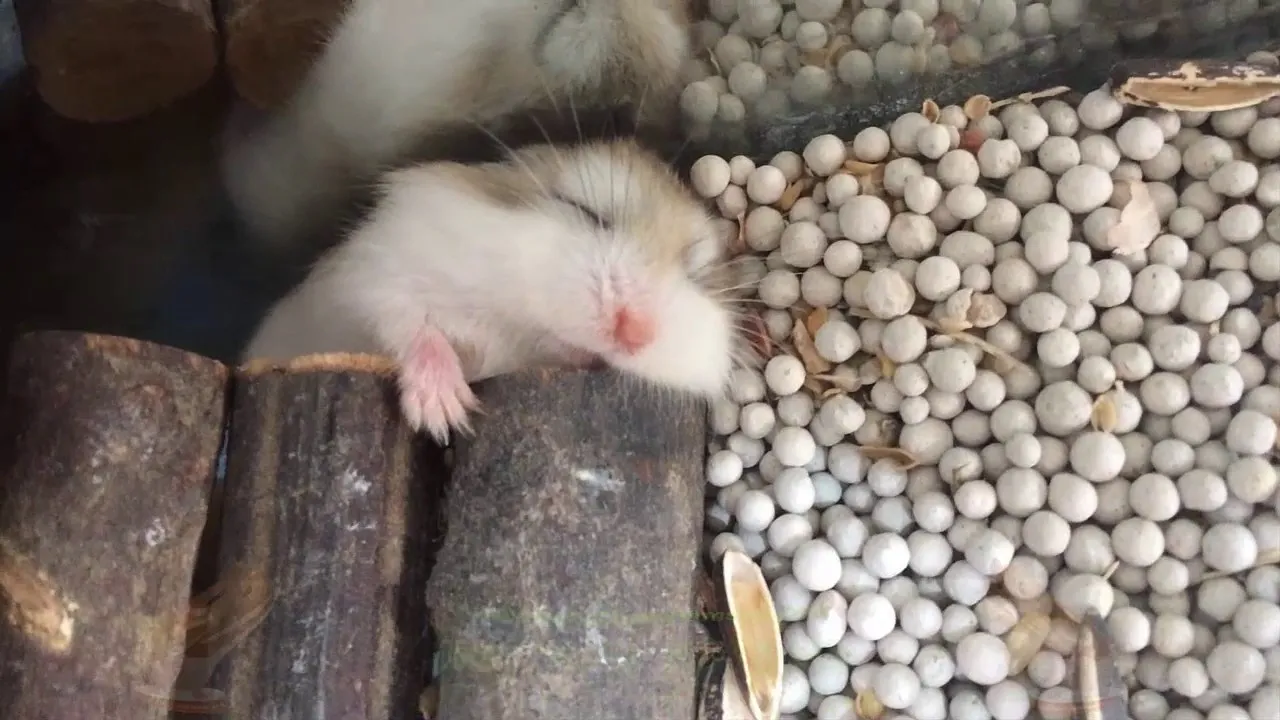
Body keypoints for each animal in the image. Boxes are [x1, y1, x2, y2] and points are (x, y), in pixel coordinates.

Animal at [242, 138, 753, 444]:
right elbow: (406, 323)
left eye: (695, 272)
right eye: (584, 210)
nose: (635, 332)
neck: (517, 329)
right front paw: (446, 416)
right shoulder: (370, 277)